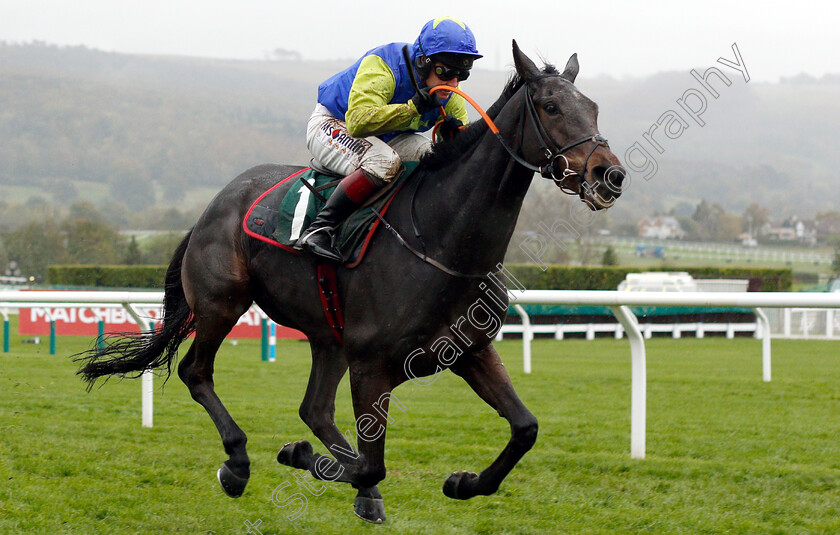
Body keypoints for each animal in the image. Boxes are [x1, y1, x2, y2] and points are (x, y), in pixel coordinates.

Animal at [74, 40, 624, 524]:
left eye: (595, 108)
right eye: (551, 107)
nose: (609, 174)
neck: (440, 240)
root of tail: (214, 206)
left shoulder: (469, 349)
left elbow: (525, 428)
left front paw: (463, 482)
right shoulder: (371, 364)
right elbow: (370, 462)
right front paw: (301, 458)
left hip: (327, 335)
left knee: (314, 408)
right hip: (221, 303)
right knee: (197, 372)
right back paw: (237, 463)